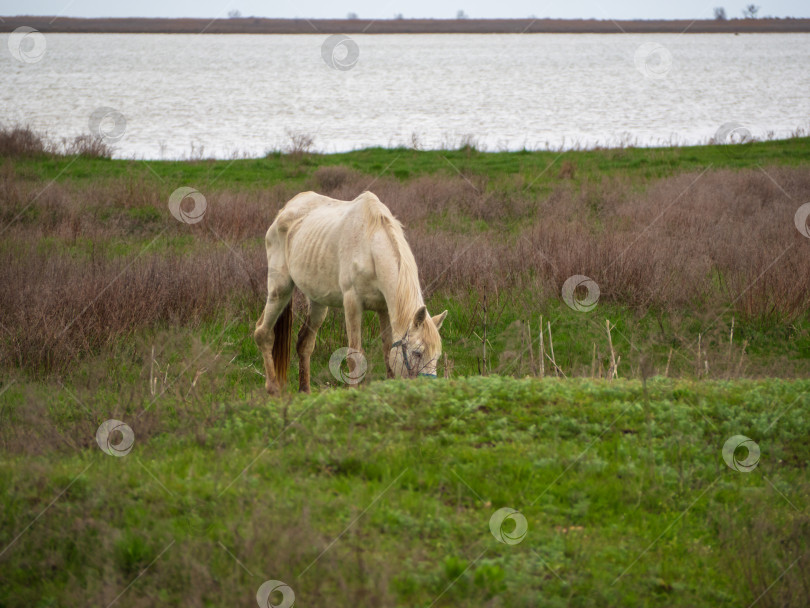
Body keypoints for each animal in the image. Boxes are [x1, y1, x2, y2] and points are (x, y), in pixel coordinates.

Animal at [252, 190, 446, 394]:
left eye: (437, 356)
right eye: (417, 353)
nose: (430, 389)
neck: (370, 249)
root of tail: (285, 209)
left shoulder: (384, 308)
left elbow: (387, 353)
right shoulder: (352, 304)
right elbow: (355, 356)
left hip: (317, 301)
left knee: (304, 343)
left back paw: (305, 391)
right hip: (279, 288)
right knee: (263, 333)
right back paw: (273, 389)